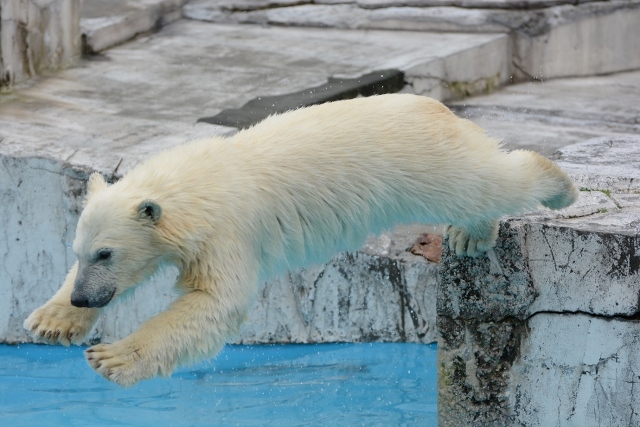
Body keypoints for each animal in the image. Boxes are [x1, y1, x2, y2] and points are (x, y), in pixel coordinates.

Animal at [23, 93, 580, 388]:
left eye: (106, 252)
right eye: (80, 254)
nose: (83, 298)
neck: (192, 184)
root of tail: (436, 107)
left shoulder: (225, 231)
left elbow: (215, 303)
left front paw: (112, 358)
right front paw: (52, 320)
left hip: (420, 162)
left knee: (481, 181)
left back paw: (554, 183)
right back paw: (470, 234)